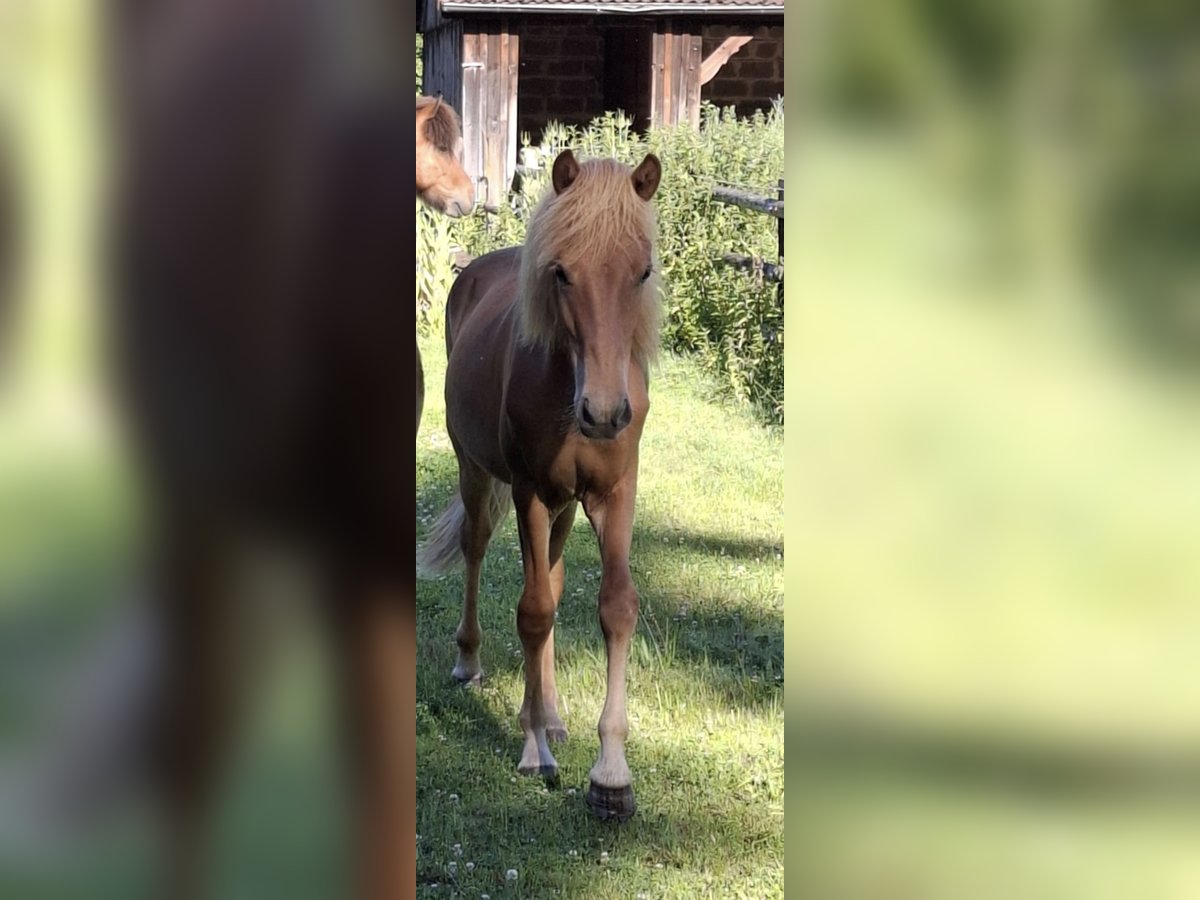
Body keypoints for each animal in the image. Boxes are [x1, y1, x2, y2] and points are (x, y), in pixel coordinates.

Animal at [418, 149, 662, 822]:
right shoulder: (527, 490)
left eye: (642, 272)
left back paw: (550, 713)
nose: (604, 413)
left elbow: (614, 608)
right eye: (561, 273)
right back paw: (471, 663)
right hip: (477, 473)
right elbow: (531, 613)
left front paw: (611, 776)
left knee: (551, 578)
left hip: (564, 508)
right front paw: (532, 749)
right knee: (477, 551)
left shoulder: (613, 496)